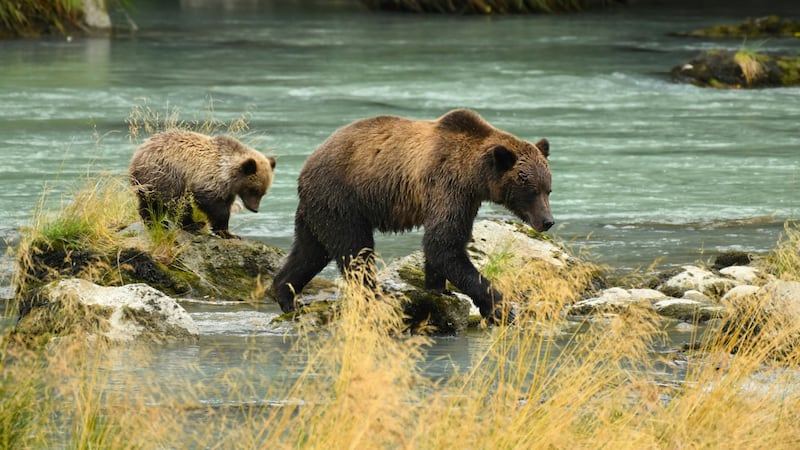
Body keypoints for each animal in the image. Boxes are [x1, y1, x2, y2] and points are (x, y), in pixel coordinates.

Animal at [129, 130, 276, 239]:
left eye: (263, 192)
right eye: (254, 190)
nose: (255, 209)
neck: (228, 175)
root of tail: (137, 155)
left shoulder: (227, 190)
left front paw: (229, 233)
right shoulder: (208, 179)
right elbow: (214, 206)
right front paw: (226, 232)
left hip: (151, 182)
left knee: (149, 203)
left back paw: (157, 221)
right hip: (166, 175)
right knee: (176, 202)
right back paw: (192, 224)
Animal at [272, 109, 553, 323]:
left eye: (548, 189)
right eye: (531, 191)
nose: (548, 221)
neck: (474, 175)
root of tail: (305, 168)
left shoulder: (466, 199)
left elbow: (443, 246)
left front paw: (439, 289)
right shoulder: (447, 185)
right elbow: (444, 245)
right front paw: (501, 308)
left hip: (318, 211)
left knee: (310, 251)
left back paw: (287, 296)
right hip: (343, 199)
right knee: (355, 251)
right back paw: (375, 296)